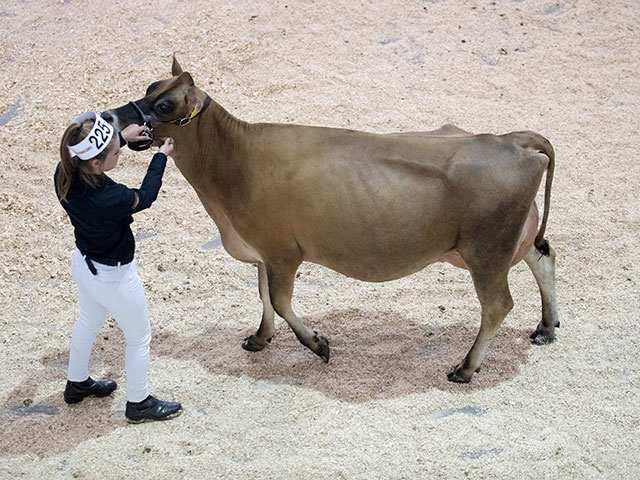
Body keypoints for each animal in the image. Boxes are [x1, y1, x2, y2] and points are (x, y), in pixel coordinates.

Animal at [102, 56, 556, 382]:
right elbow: (263, 297)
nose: (109, 117)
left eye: (164, 104)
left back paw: (465, 367)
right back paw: (547, 327)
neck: (234, 162)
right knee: (542, 256)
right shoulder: (262, 251)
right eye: (148, 88)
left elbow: (280, 301)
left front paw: (317, 344)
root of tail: (512, 139)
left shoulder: (283, 252)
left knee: (497, 304)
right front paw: (260, 338)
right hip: (505, 242)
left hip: (486, 250)